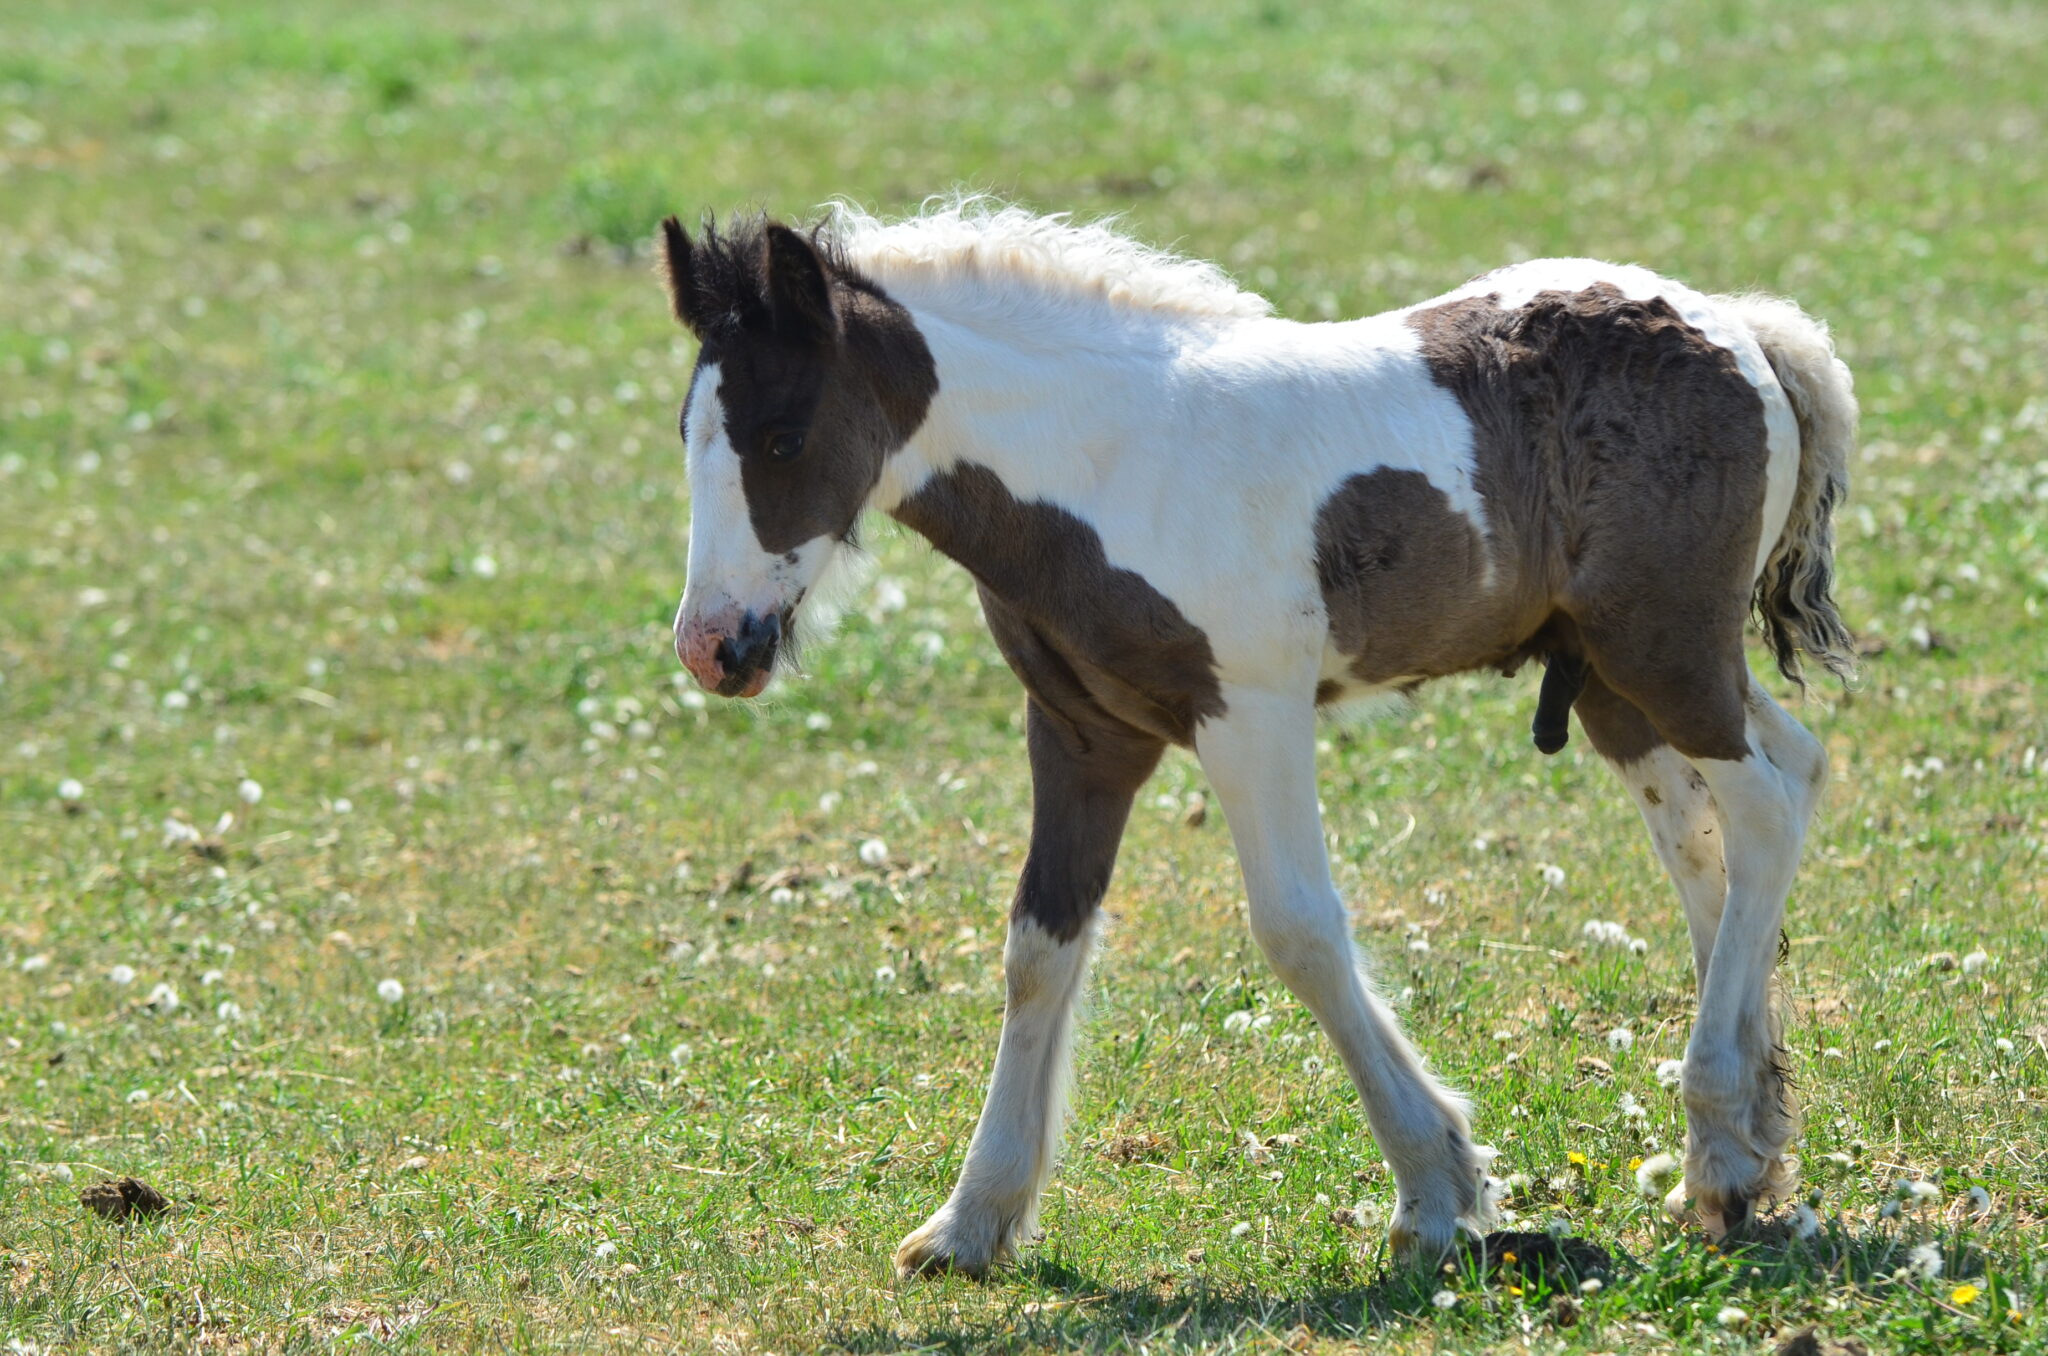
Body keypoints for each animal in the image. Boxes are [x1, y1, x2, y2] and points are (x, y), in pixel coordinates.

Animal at [655, 199, 1859, 1278]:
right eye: (686, 436)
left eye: (782, 436)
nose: (712, 647)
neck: (1105, 464)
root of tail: (1744, 329)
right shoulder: (1081, 734)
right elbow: (1038, 948)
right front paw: (971, 1222)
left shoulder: (1249, 712)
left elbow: (1298, 932)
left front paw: (1434, 1193)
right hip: (1616, 675)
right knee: (1737, 816)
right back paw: (1744, 1145)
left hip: (1662, 648)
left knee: (1761, 805)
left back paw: (1719, 1146)